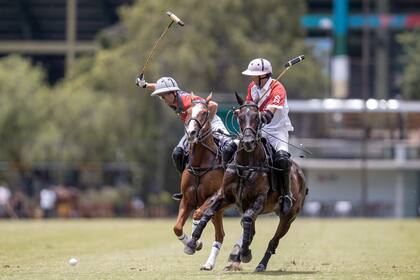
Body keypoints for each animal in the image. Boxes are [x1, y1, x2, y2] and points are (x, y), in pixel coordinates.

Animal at [172, 91, 226, 270]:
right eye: (188, 112)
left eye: (204, 112)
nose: (191, 133)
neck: (200, 164)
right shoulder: (187, 199)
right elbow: (177, 227)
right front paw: (193, 243)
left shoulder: (214, 196)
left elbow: (197, 214)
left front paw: (194, 243)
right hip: (218, 211)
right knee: (220, 234)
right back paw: (208, 264)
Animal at [185, 93, 306, 272]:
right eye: (240, 117)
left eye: (257, 117)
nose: (248, 142)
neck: (246, 164)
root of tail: (301, 174)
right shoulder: (225, 196)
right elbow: (207, 213)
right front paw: (192, 243)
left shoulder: (259, 200)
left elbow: (247, 221)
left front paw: (246, 253)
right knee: (251, 229)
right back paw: (236, 256)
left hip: (289, 216)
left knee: (273, 240)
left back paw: (259, 264)